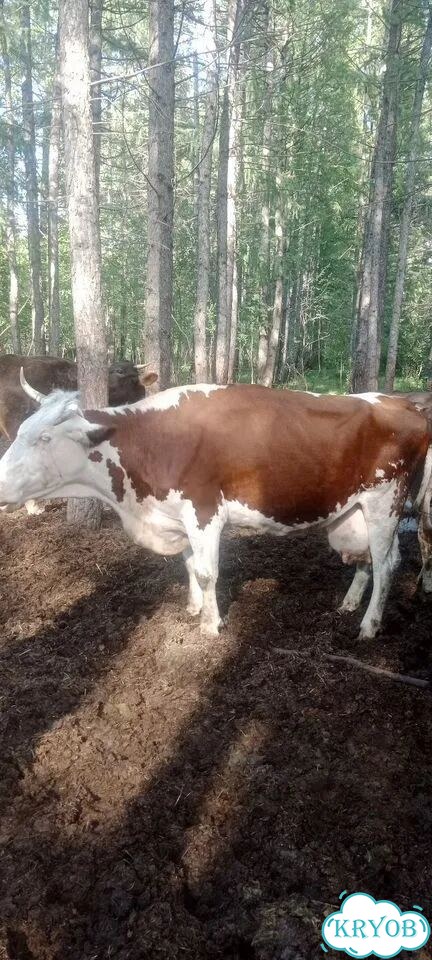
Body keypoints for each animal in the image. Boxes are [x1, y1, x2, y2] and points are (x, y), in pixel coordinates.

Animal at [0, 377, 431, 641]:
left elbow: (208, 572)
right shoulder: (177, 516)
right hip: (353, 512)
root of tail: (402, 402)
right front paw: (193, 609)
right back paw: (348, 604)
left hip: (385, 502)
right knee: (365, 559)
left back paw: (369, 624)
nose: (0, 483)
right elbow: (190, 565)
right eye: (19, 431)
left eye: (43, 438)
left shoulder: (204, 512)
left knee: (388, 562)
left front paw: (211, 625)